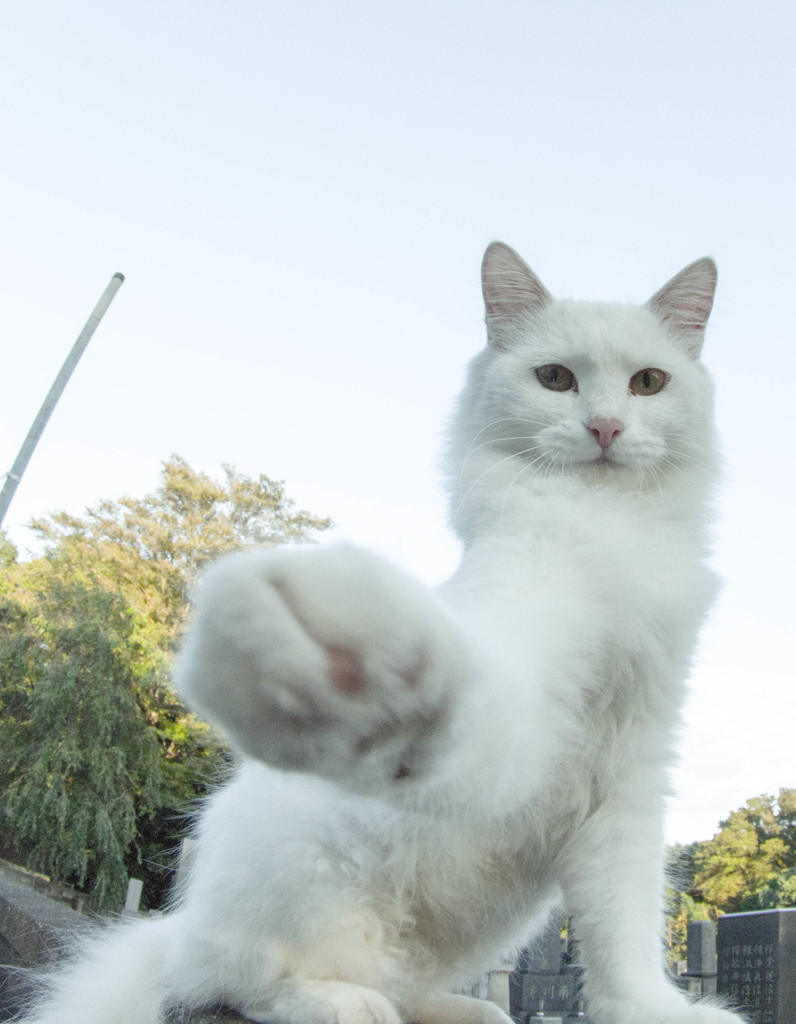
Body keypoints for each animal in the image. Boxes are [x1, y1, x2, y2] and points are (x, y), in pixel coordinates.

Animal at [20, 245, 745, 1024]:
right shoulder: (539, 717)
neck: (605, 529)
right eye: (556, 379)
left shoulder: (633, 774)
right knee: (233, 984)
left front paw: (655, 1010)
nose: (606, 427)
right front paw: (375, 679)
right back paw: (341, 1001)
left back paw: (468, 1010)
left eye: (648, 383)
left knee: (397, 987)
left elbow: (623, 933)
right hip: (295, 895)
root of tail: (179, 927)